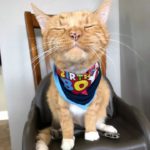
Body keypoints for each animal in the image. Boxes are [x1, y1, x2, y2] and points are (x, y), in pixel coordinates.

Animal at [31, 0, 118, 149]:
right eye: (60, 28)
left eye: (88, 26)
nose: (74, 33)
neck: (78, 78)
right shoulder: (60, 106)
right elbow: (67, 124)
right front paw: (67, 140)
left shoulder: (96, 99)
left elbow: (91, 116)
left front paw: (90, 133)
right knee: (64, 128)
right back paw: (58, 133)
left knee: (98, 122)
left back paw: (106, 128)